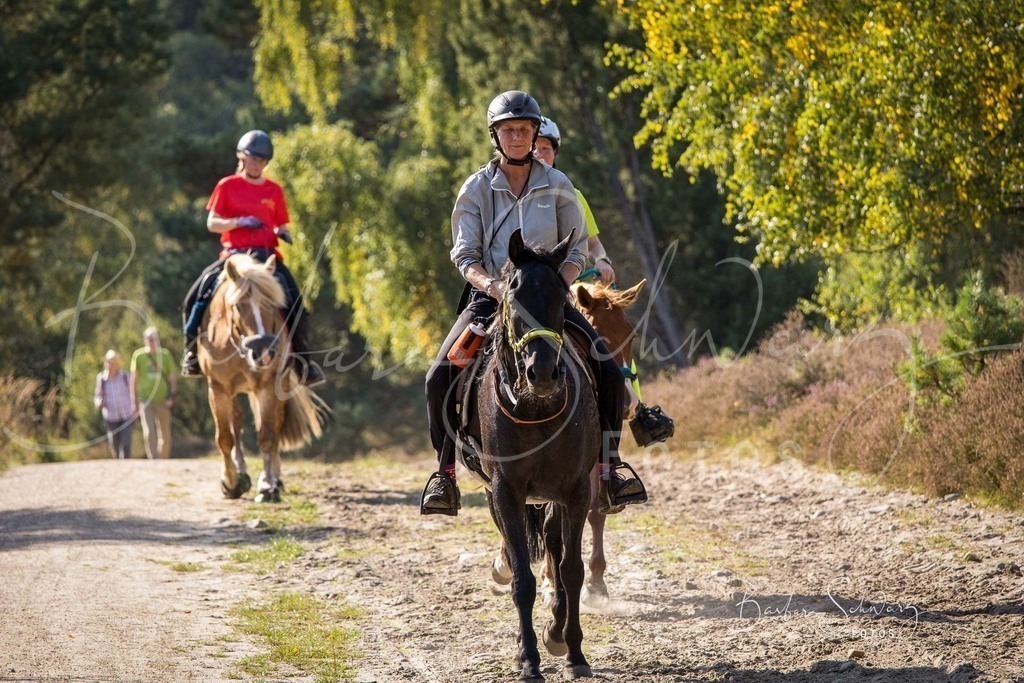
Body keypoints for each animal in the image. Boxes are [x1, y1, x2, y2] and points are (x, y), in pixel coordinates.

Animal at [196, 253, 326, 502]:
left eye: (273, 304)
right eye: (237, 306)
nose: (262, 352)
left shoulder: (267, 386)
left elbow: (267, 435)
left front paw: (267, 485)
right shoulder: (218, 388)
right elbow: (225, 437)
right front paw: (231, 482)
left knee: (274, 426)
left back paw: (275, 479)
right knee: (236, 423)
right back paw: (241, 473)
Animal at [459, 230, 599, 681]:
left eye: (560, 296)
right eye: (514, 296)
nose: (542, 374)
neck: (536, 408)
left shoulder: (576, 491)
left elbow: (571, 570)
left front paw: (574, 652)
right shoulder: (507, 491)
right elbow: (522, 577)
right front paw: (528, 659)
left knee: (555, 552)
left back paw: (556, 631)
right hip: (498, 496)